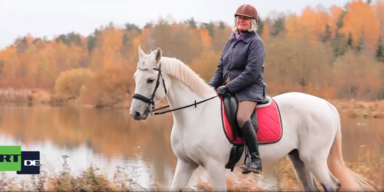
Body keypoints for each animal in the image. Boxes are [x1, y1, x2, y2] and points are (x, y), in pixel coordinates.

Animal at [129, 47, 376, 192]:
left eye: (150, 80)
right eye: (135, 77)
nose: (135, 114)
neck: (195, 115)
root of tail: (325, 105)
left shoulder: (214, 166)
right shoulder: (185, 163)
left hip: (314, 159)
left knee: (332, 185)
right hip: (299, 159)